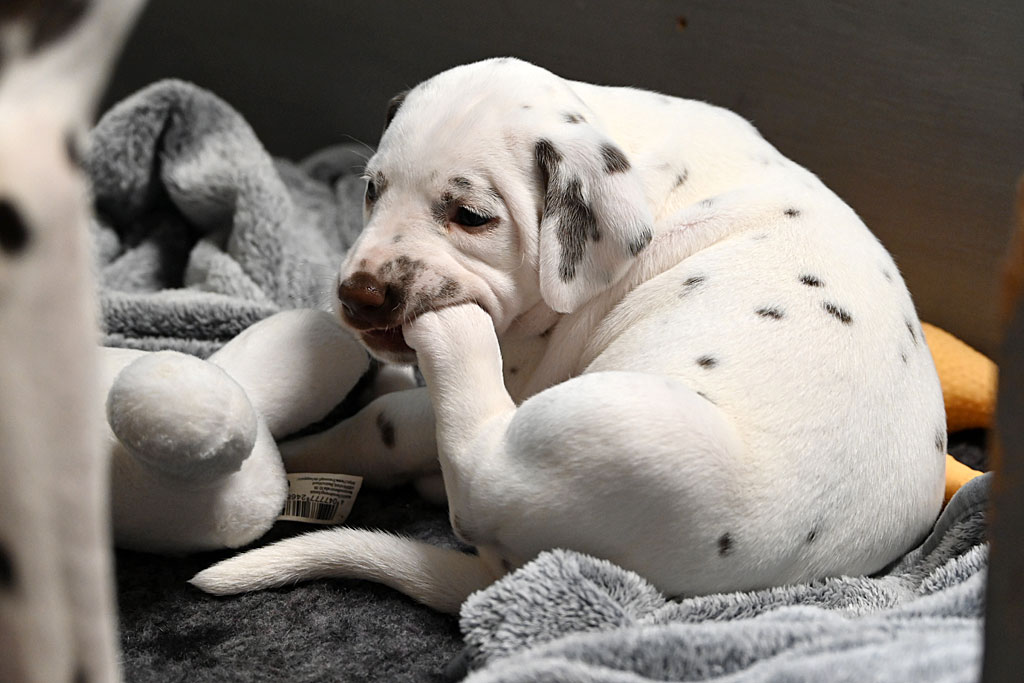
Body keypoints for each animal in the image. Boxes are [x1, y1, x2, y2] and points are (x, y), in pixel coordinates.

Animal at [191, 57, 947, 613]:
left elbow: (375, 423)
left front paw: (292, 447)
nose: (359, 295)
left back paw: (449, 347)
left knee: (460, 461)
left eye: (471, 215)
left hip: (607, 427)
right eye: (371, 189)